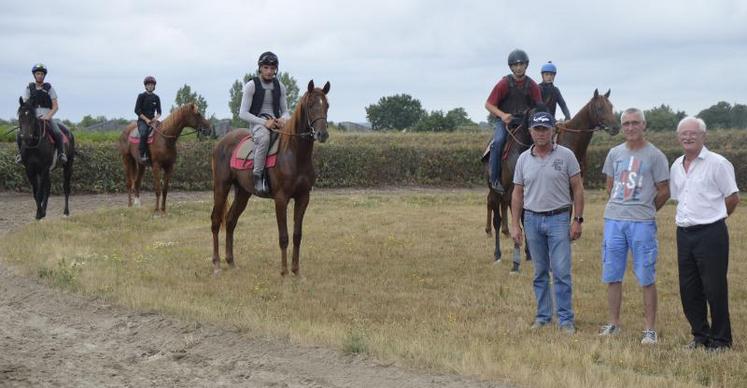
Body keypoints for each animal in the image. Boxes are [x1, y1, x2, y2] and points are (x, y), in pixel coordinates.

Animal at [209, 80, 328, 278]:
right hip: (221, 187)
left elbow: (297, 235)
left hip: (243, 193)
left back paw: (231, 262)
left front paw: (296, 272)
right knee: (216, 221)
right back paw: (217, 264)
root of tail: (221, 143)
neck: (294, 154)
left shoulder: (303, 198)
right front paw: (284, 272)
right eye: (311, 105)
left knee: (231, 220)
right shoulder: (281, 199)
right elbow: (284, 236)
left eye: (327, 105)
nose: (322, 134)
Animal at [486, 88, 620, 260]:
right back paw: (498, 252)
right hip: (497, 190)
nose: (615, 127)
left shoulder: (570, 189)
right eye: (599, 108)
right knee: (497, 214)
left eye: (611, 107)